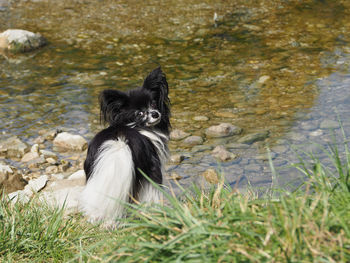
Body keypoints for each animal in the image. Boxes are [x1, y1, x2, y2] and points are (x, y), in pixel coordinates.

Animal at [79, 67, 172, 225]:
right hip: (151, 172)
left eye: (153, 104)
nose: (155, 114)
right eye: (139, 113)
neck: (133, 125)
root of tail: (119, 142)